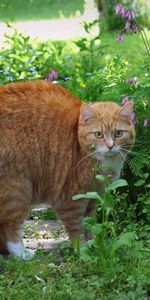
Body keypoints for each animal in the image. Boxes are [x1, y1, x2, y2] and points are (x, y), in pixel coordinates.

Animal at [0, 81, 135, 258]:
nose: (110, 146)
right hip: (18, 189)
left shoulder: (91, 198)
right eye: (98, 134)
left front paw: (94, 244)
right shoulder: (71, 199)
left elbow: (89, 225)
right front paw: (83, 250)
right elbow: (77, 229)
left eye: (118, 133)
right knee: (10, 225)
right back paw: (22, 253)